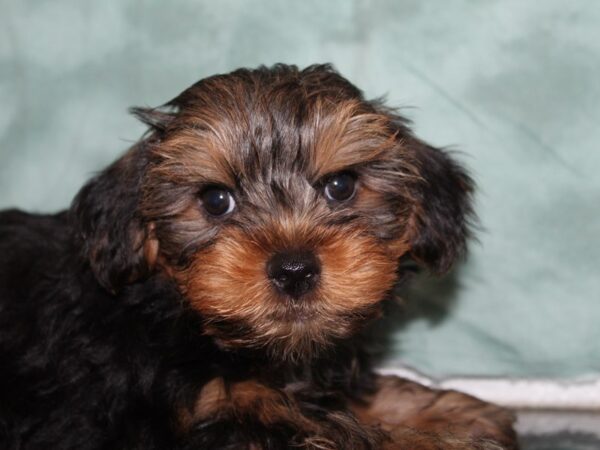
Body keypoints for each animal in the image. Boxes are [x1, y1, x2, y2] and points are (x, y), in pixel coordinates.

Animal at [0, 64, 516, 450]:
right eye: (215, 201)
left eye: (341, 186)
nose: (294, 269)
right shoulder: (201, 419)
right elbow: (334, 433)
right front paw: (441, 437)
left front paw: (451, 410)